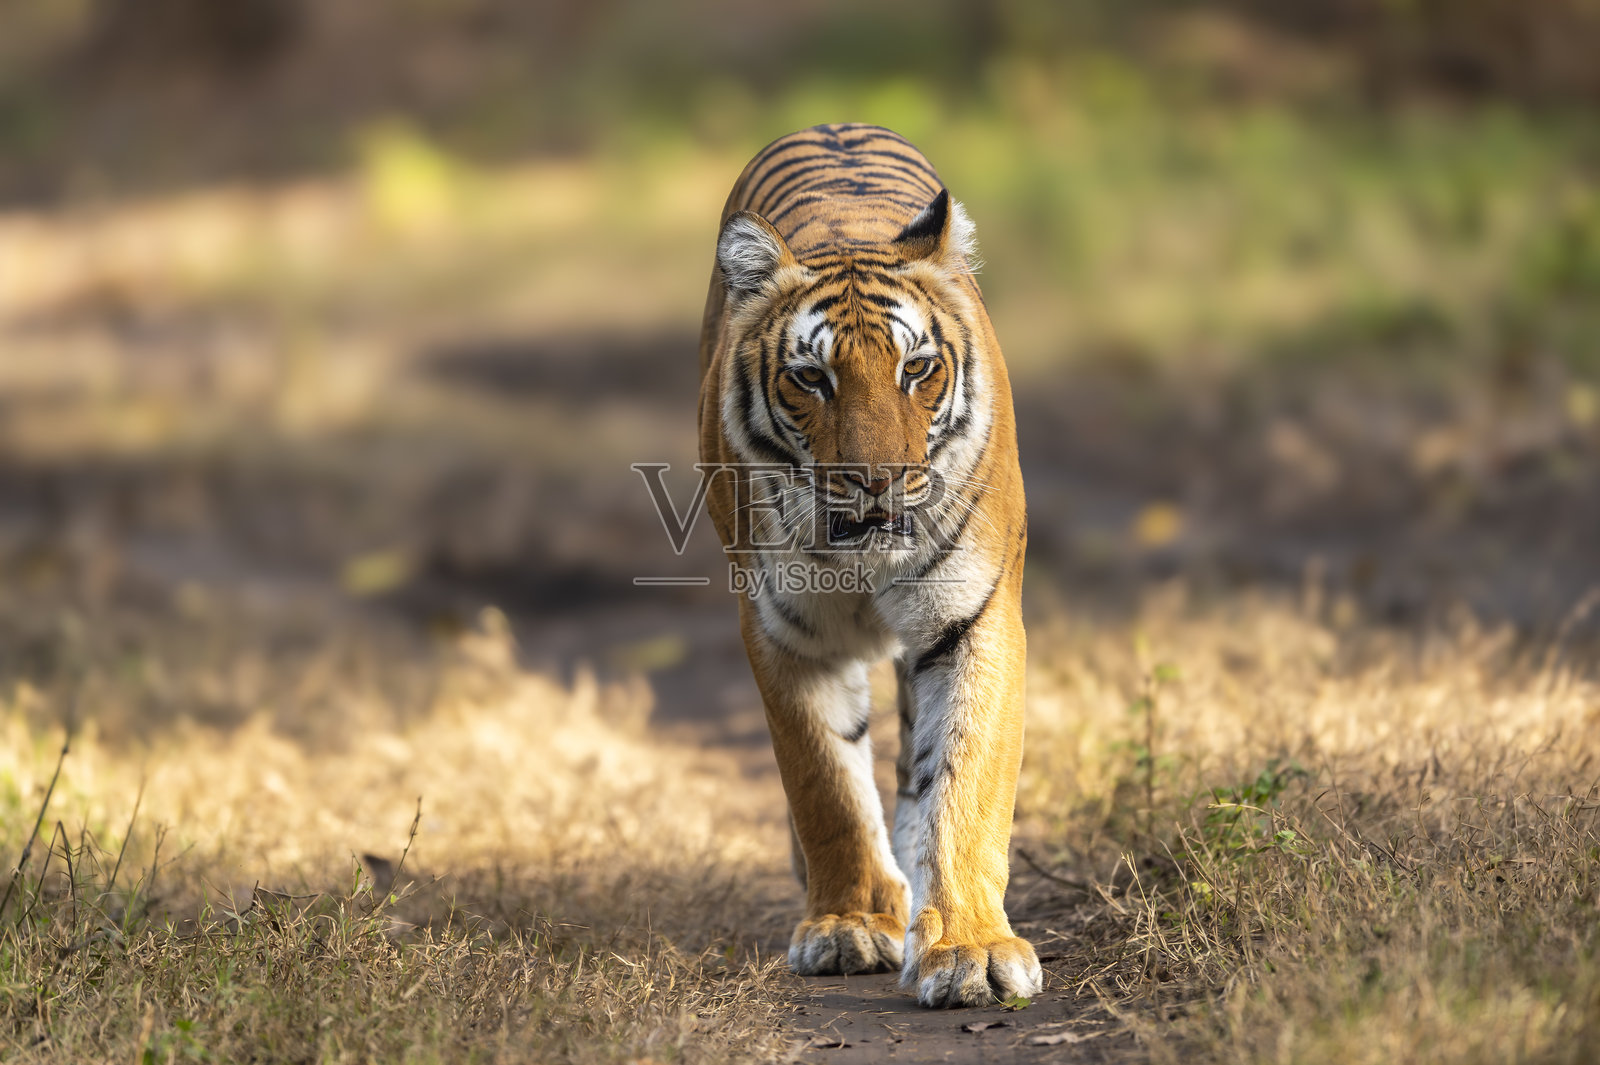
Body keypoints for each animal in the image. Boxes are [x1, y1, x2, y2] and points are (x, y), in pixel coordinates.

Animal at [697, 123, 1038, 1008]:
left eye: (916, 368)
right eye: (810, 377)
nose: (878, 482)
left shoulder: (974, 615)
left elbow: (963, 780)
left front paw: (970, 948)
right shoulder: (785, 632)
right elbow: (826, 785)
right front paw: (848, 925)